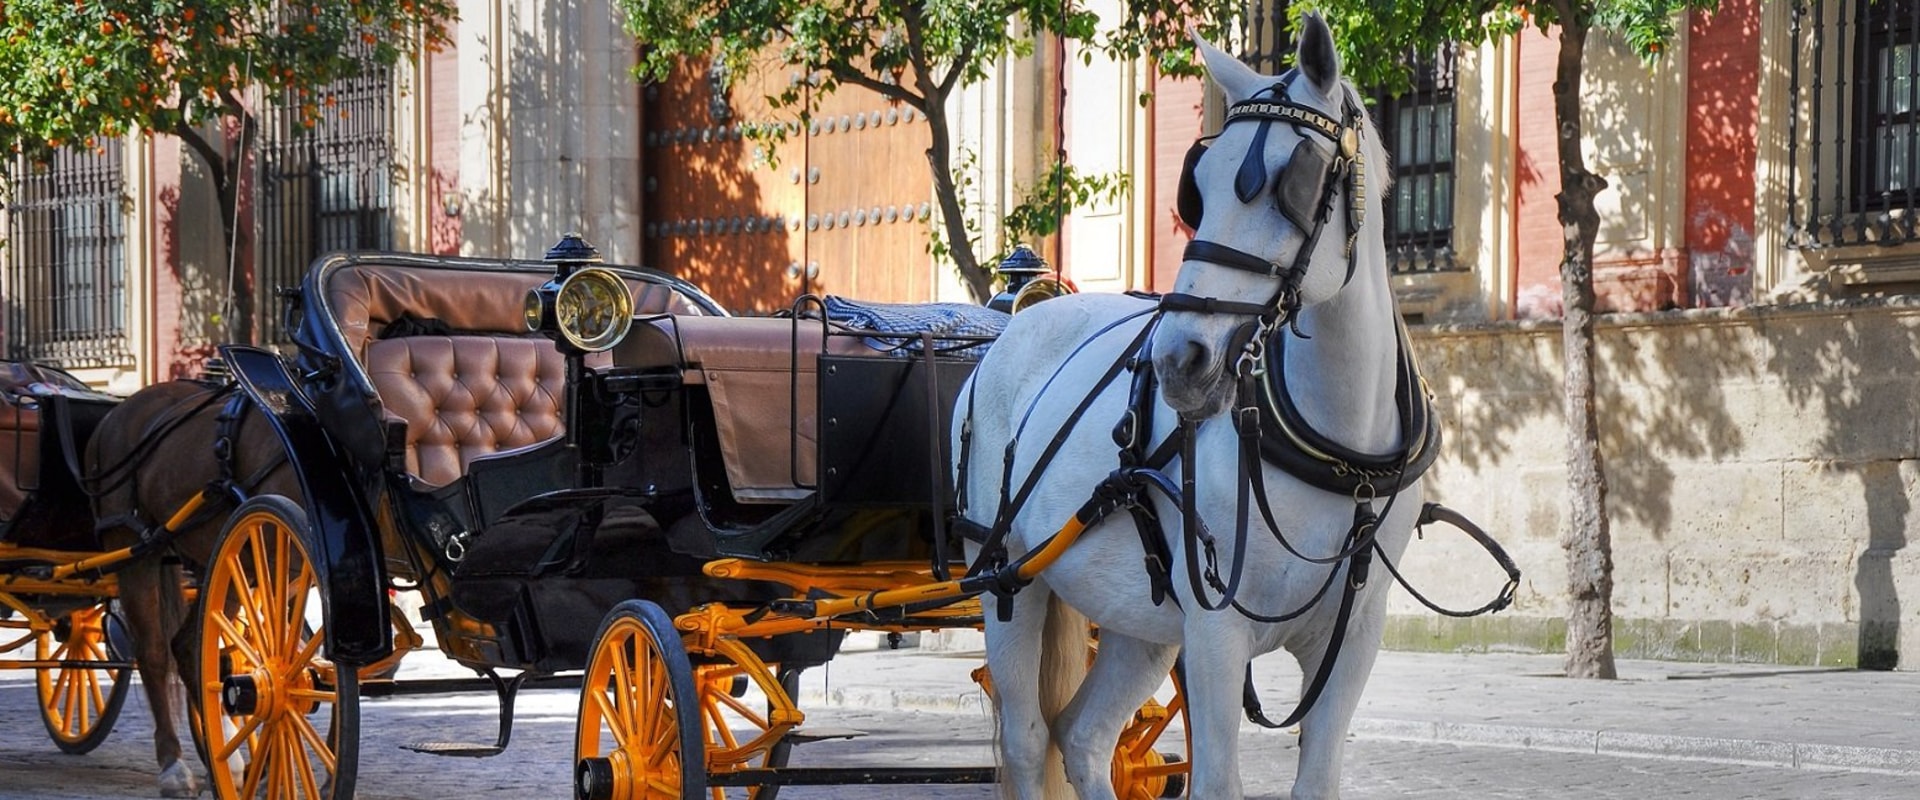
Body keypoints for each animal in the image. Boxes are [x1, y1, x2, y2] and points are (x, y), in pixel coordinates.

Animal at [84, 377, 297, 794]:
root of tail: (115, 414)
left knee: (191, 647)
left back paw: (230, 758)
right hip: (134, 549)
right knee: (153, 651)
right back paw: (176, 765)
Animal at [952, 15, 1436, 794]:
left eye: (1295, 182)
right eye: (1197, 187)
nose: (1179, 359)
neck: (1335, 447)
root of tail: (1017, 318)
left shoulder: (1354, 638)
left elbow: (1317, 778)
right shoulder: (1215, 632)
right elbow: (1216, 780)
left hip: (1141, 618)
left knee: (1083, 736)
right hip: (1008, 576)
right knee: (1028, 742)